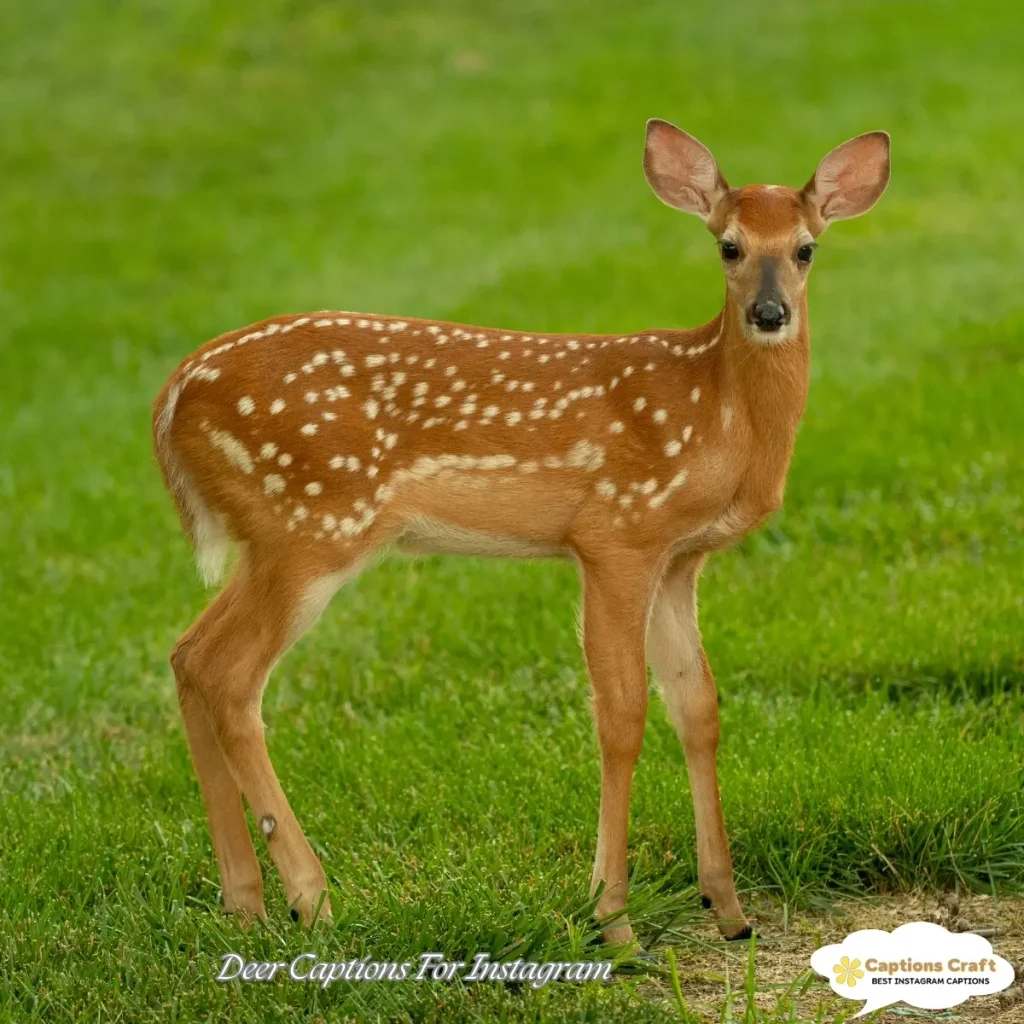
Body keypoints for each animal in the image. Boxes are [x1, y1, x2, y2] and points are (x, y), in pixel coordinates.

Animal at [153, 119, 890, 947]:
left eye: (806, 248)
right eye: (728, 246)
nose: (769, 314)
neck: (715, 414)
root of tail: (169, 402)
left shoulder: (679, 558)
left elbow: (697, 707)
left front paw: (728, 909)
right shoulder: (615, 534)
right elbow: (622, 714)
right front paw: (613, 917)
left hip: (273, 538)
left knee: (189, 655)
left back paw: (244, 902)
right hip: (311, 523)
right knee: (228, 674)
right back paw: (311, 899)